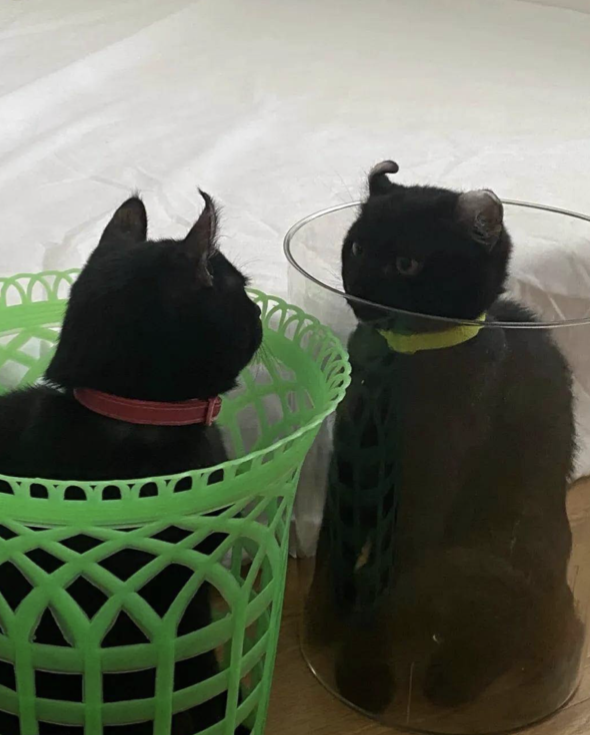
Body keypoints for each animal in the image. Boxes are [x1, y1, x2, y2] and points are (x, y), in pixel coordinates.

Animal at [0, 192, 261, 735]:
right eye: (242, 291)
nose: (261, 308)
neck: (123, 413)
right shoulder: (184, 590)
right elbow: (200, 668)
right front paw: (222, 716)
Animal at [307, 161, 583, 727]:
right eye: (357, 247)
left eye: (407, 263)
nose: (363, 286)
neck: (399, 360)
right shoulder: (350, 460)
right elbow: (332, 542)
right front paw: (321, 619)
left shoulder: (426, 487)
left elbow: (391, 584)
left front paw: (362, 674)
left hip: (500, 546)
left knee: (510, 628)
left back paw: (453, 679)